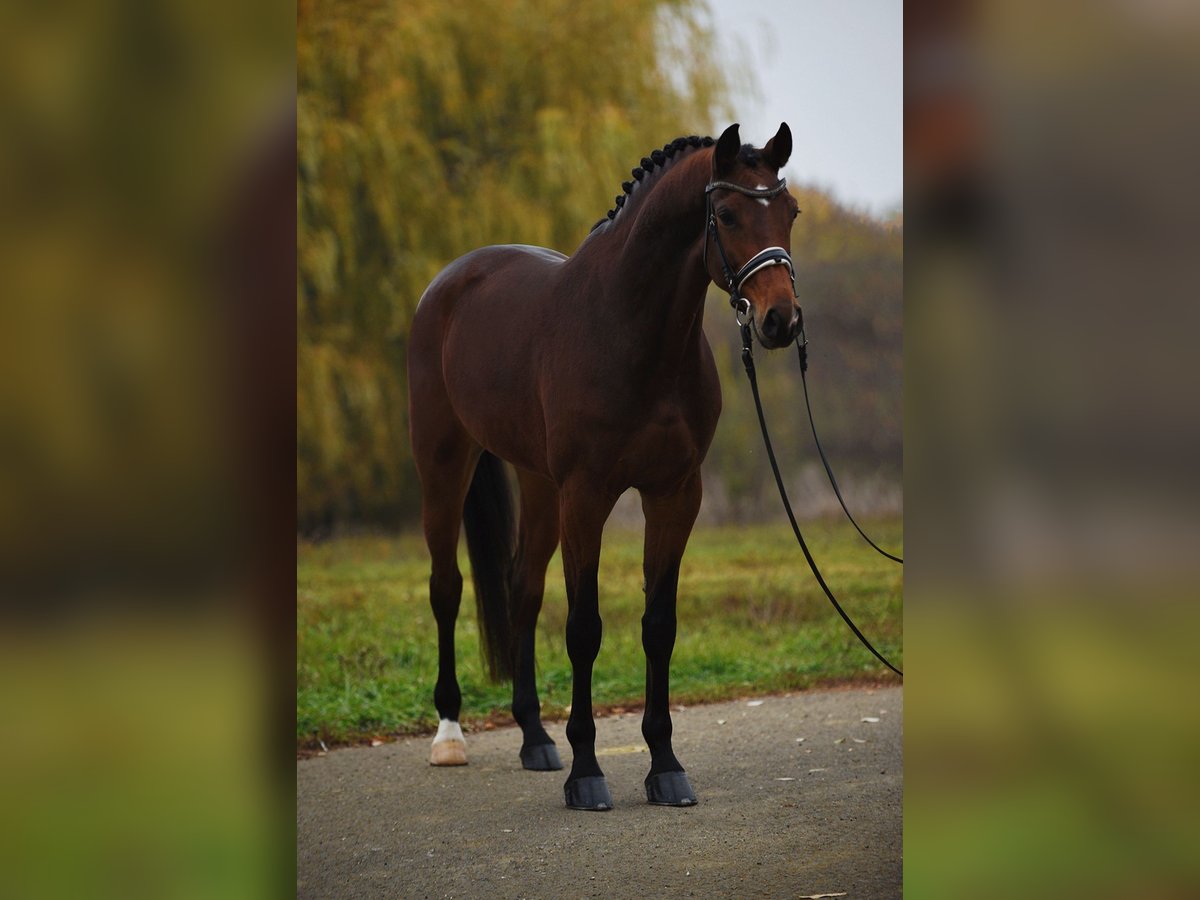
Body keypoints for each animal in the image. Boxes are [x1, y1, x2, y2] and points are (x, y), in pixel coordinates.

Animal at [408, 121, 801, 811]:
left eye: (791, 212)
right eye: (727, 214)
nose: (781, 320)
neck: (630, 332)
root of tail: (449, 283)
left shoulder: (675, 494)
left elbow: (658, 625)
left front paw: (664, 767)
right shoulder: (587, 495)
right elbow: (584, 628)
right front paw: (587, 773)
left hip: (539, 483)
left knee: (521, 588)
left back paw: (535, 738)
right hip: (446, 464)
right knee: (447, 588)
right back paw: (450, 735)